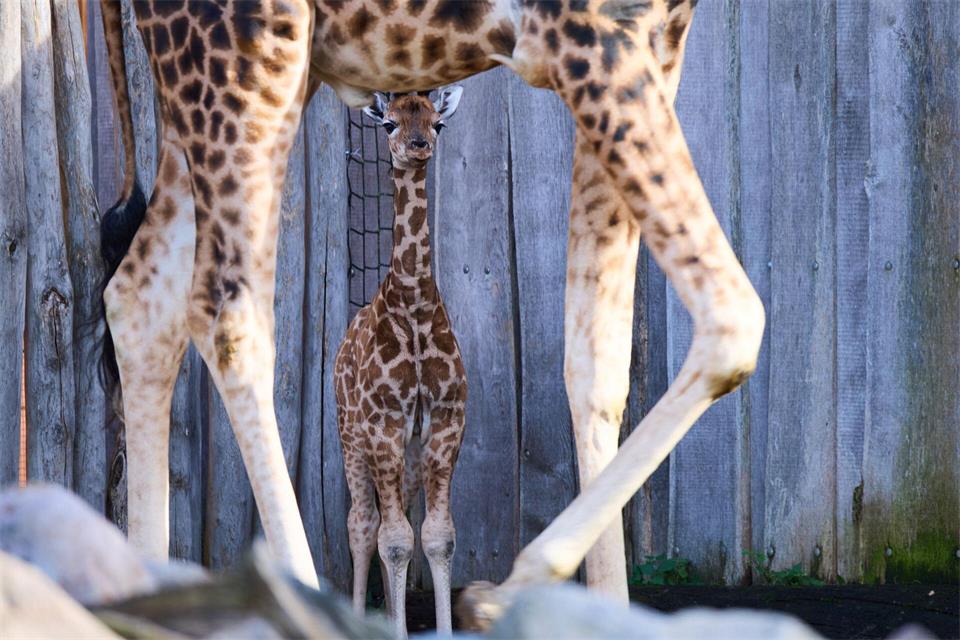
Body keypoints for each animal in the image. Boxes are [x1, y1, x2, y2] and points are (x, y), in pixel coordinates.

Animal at [97, 0, 763, 621]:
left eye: (436, 125)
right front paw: (499, 595)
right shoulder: (585, 36)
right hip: (246, 56)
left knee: (139, 297)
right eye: (390, 121)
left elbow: (593, 365)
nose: (416, 144)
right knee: (231, 319)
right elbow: (733, 319)